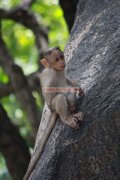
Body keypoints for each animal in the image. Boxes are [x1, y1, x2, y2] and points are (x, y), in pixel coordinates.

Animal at [23, 46, 84, 180]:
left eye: (61, 57)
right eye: (56, 59)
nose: (62, 62)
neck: (55, 70)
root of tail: (54, 112)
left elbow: (68, 81)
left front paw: (78, 87)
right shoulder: (50, 76)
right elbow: (50, 95)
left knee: (69, 90)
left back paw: (73, 110)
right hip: (54, 108)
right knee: (60, 98)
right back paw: (67, 117)